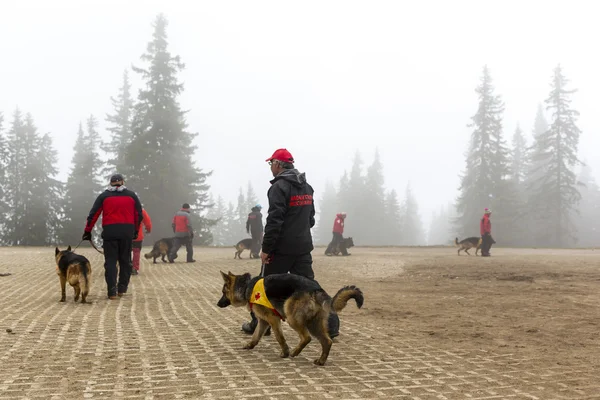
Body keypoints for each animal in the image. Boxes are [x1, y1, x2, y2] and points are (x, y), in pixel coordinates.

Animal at [218, 272, 364, 366]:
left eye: (223, 292)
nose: (217, 304)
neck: (247, 286)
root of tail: (316, 289)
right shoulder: (263, 321)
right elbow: (256, 336)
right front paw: (249, 345)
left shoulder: (273, 319)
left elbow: (280, 337)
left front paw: (285, 352)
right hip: (313, 324)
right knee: (327, 341)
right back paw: (321, 361)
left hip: (292, 318)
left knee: (306, 337)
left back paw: (294, 352)